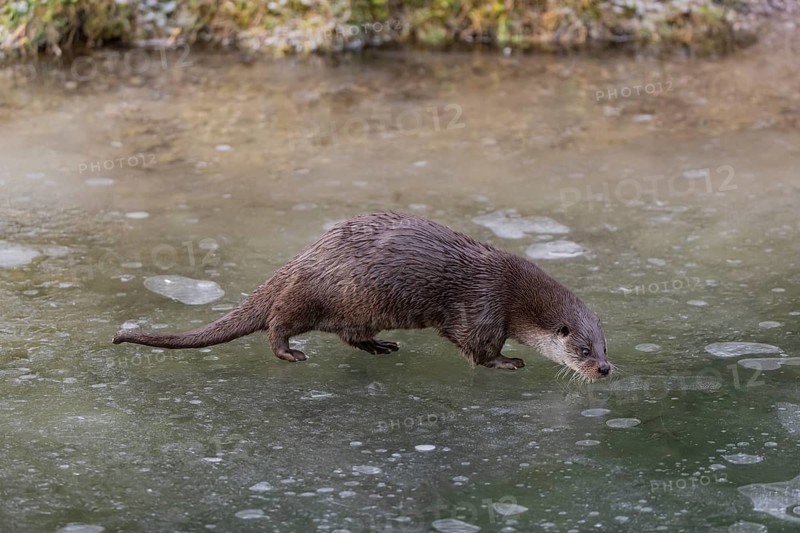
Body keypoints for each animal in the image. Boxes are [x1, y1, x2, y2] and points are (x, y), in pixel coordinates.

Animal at [113, 212, 611, 380]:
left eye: (606, 347)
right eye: (583, 350)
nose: (604, 370)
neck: (514, 291)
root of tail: (304, 256)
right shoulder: (483, 305)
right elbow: (476, 346)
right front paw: (507, 362)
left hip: (359, 308)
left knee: (349, 335)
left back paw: (381, 346)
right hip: (318, 293)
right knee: (278, 320)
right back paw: (290, 353)